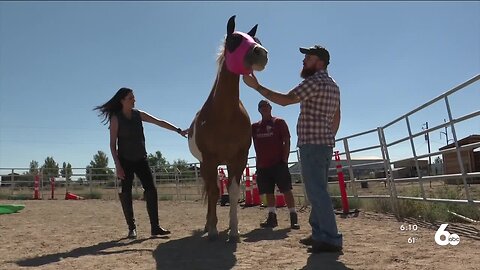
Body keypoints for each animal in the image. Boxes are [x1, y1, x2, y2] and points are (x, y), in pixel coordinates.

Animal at [188, 15, 268, 243]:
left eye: (257, 39)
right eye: (234, 39)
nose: (261, 53)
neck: (224, 116)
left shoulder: (239, 159)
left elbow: (232, 192)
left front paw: (234, 231)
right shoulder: (209, 159)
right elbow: (215, 193)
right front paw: (213, 230)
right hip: (207, 165)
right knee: (210, 190)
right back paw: (209, 226)